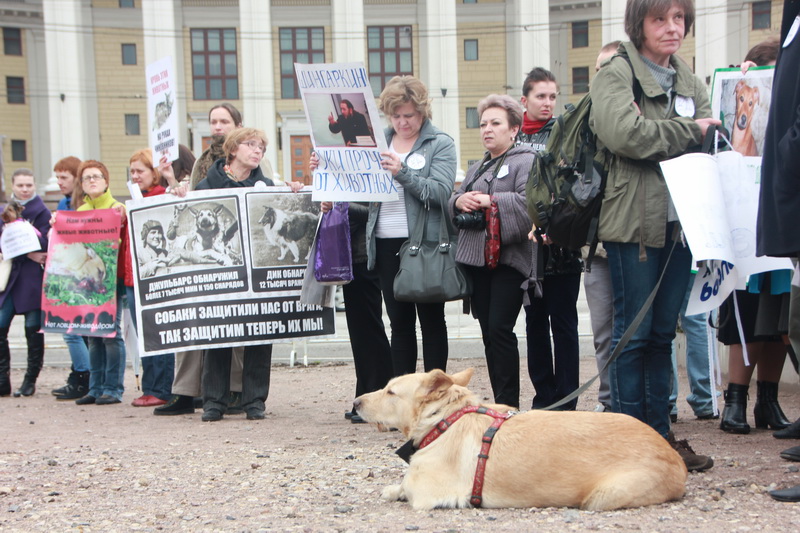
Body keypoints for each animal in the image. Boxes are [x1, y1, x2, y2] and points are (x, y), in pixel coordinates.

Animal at [354, 368, 687, 511]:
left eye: (391, 391)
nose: (355, 403)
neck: (444, 420)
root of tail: (676, 458)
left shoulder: (426, 493)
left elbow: (408, 486)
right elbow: (399, 485)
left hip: (602, 497)